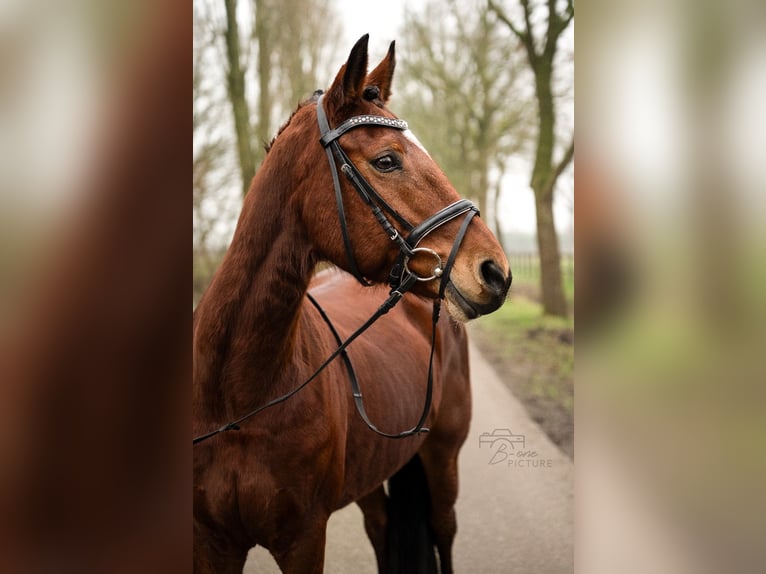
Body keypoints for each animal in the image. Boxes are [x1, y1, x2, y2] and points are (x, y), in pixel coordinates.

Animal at [195, 37, 512, 574]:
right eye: (387, 161)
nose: (497, 272)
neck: (237, 400)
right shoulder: (214, 544)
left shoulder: (304, 539)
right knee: (382, 528)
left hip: (442, 455)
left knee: (444, 530)